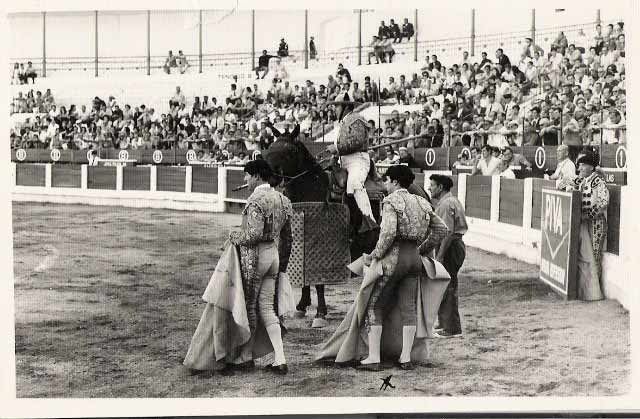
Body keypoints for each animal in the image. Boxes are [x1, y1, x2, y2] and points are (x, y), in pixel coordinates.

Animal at [262, 123, 382, 326]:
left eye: (289, 151)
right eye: (270, 148)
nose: (271, 177)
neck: (311, 187)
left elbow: (318, 281)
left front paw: (320, 313)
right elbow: (303, 276)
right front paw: (301, 307)